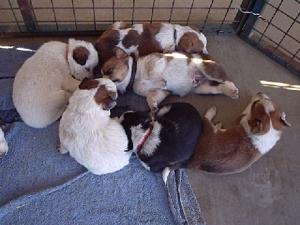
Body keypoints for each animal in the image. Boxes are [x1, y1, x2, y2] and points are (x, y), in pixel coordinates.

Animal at [102, 50, 238, 111]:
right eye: (102, 74)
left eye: (109, 71)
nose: (102, 81)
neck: (136, 75)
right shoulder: (161, 92)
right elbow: (150, 95)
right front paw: (153, 106)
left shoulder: (156, 62)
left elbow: (153, 75)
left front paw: (160, 81)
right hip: (202, 89)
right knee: (218, 88)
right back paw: (230, 92)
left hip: (205, 68)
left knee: (226, 79)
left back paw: (234, 89)